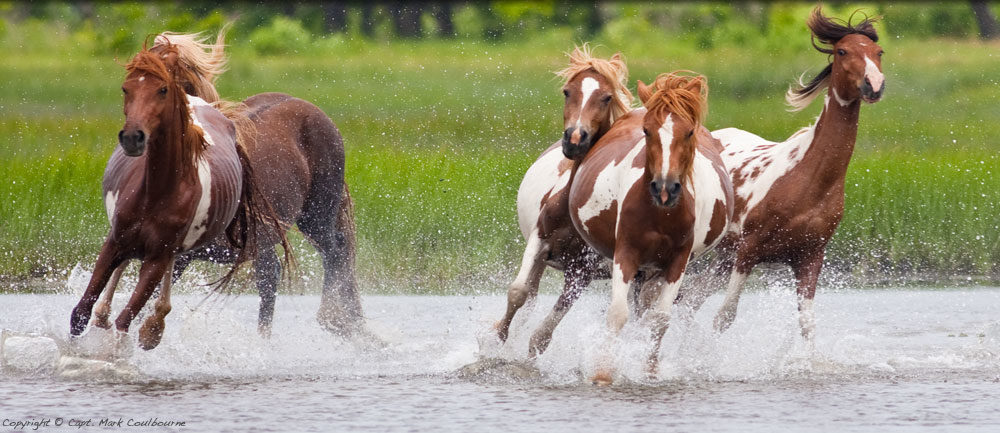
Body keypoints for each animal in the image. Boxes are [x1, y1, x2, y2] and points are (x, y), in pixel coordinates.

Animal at [69, 42, 286, 350]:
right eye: (126, 88)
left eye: (162, 90)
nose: (133, 138)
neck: (157, 192)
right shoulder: (115, 242)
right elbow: (81, 311)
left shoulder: (158, 257)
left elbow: (125, 322)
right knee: (115, 280)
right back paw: (109, 316)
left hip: (171, 250)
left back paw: (153, 325)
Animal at [572, 72, 736, 384]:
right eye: (647, 131)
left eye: (689, 132)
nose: (664, 188)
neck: (660, 215)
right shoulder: (626, 253)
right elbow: (618, 313)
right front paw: (603, 372)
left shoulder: (677, 262)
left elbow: (660, 319)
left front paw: (650, 371)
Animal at [700, 5, 888, 340]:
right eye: (842, 51)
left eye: (878, 52)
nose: (874, 85)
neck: (807, 182)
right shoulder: (748, 251)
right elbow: (724, 317)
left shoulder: (810, 257)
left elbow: (807, 325)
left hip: (722, 258)